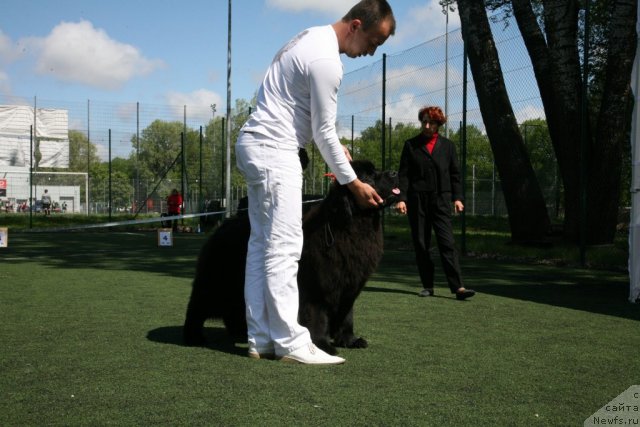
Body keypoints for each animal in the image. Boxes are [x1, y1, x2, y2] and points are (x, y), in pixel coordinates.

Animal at [182, 160, 398, 354]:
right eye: (368, 177)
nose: (394, 172)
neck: (352, 225)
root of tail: (222, 226)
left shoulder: (349, 286)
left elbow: (346, 316)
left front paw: (350, 340)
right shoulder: (316, 287)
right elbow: (318, 317)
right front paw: (323, 345)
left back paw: (241, 332)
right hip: (215, 282)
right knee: (197, 307)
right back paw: (194, 337)